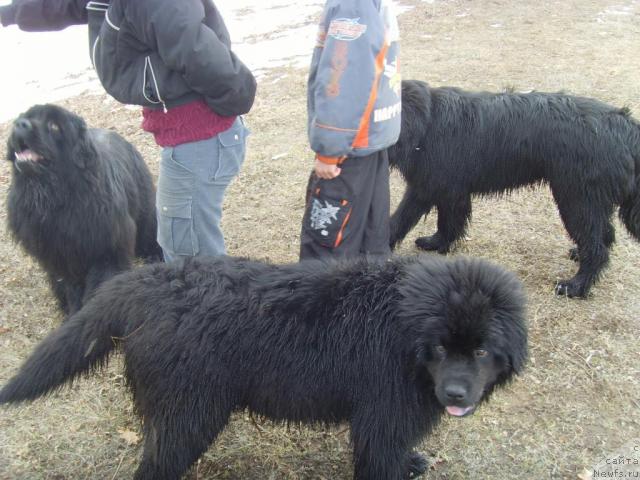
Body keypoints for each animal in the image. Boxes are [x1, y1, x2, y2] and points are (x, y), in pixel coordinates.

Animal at [0, 255, 528, 480]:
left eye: (482, 351)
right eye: (438, 347)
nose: (456, 394)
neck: (401, 328)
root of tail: (151, 280)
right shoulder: (382, 417)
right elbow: (380, 461)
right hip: (191, 411)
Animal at [6, 104, 161, 316]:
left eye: (54, 126)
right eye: (26, 116)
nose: (20, 123)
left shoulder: (106, 249)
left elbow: (99, 283)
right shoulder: (58, 256)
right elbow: (68, 286)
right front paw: (71, 310)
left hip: (144, 205)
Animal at [388, 79, 640, 296]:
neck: (428, 122)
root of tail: (624, 124)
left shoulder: (425, 187)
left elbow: (401, 217)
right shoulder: (449, 188)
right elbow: (448, 221)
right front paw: (437, 243)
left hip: (576, 199)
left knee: (597, 247)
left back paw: (576, 286)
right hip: (589, 200)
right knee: (604, 234)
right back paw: (578, 255)